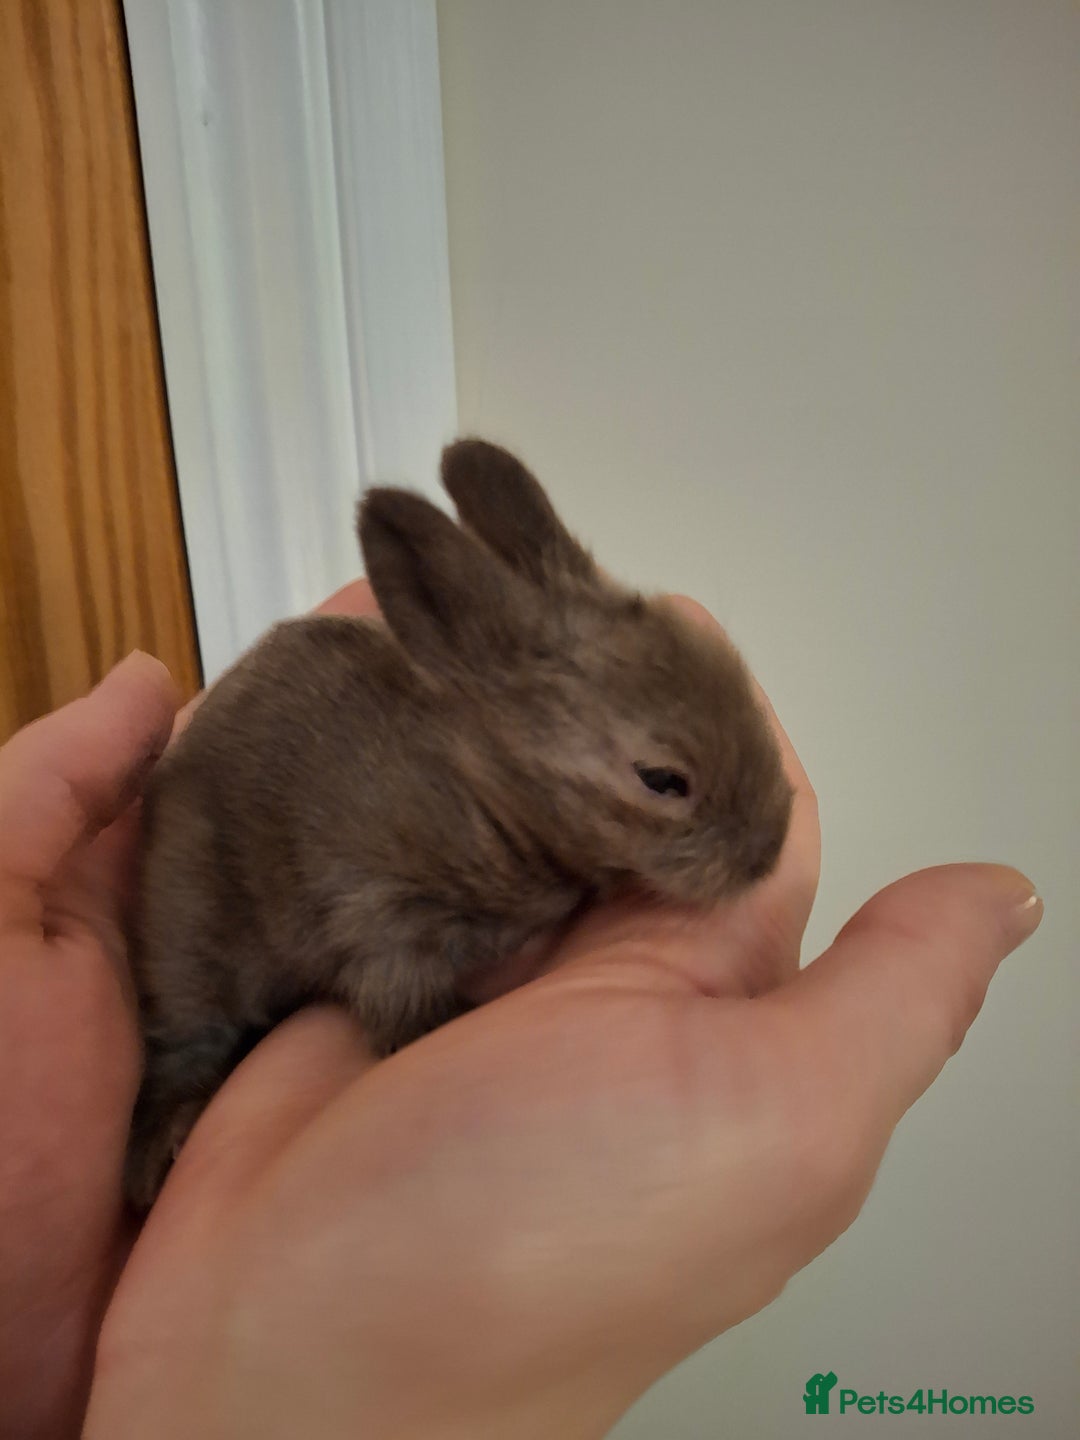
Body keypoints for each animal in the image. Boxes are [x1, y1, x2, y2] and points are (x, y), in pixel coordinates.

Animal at [125, 438, 794, 1208]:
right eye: (662, 780)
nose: (769, 849)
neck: (488, 793)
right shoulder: (381, 911)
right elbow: (396, 997)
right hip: (192, 937)